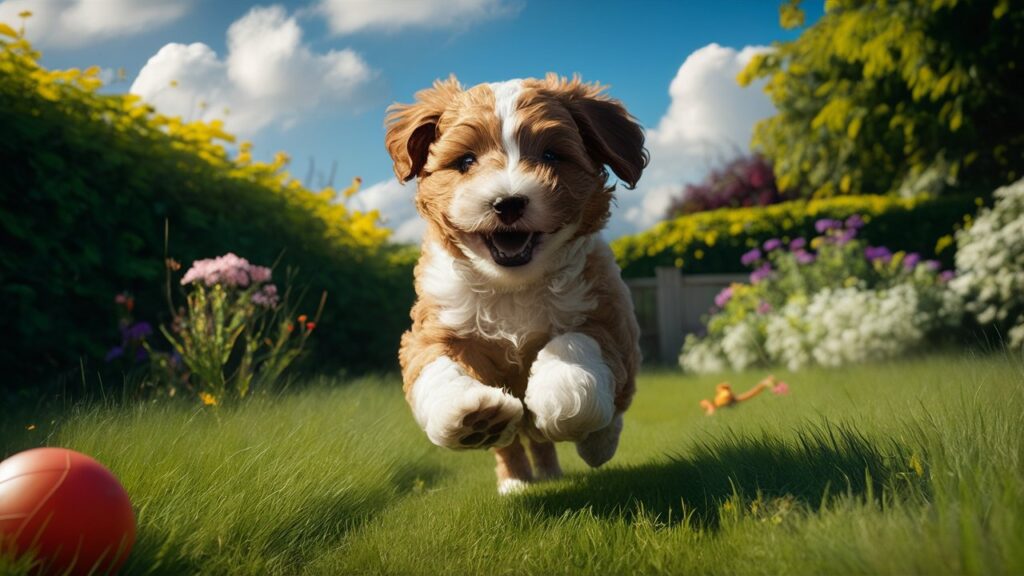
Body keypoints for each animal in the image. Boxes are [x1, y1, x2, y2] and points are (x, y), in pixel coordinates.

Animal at [385, 72, 647, 494]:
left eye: (552, 156)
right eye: (466, 161)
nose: (507, 202)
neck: (512, 285)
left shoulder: (606, 313)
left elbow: (575, 345)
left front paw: (562, 397)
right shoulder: (433, 327)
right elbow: (435, 367)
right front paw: (467, 415)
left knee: (597, 415)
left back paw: (589, 448)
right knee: (510, 443)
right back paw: (515, 478)